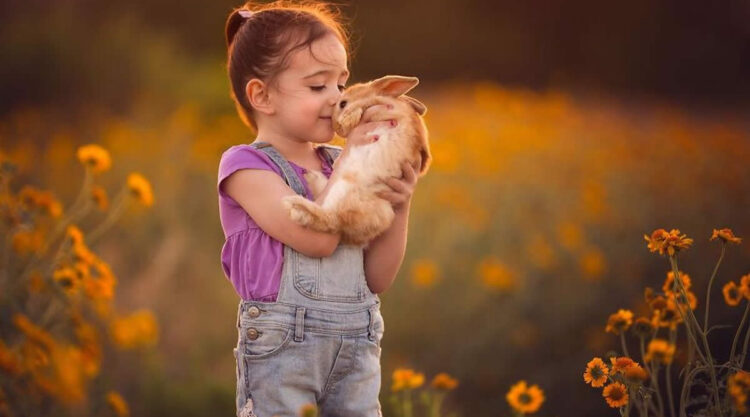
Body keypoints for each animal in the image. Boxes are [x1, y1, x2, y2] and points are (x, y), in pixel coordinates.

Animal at [280, 74, 434, 247]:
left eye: (342, 103)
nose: (337, 128)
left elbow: (357, 108)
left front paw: (348, 119)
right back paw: (310, 178)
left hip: (344, 189)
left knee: (330, 219)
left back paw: (295, 204)